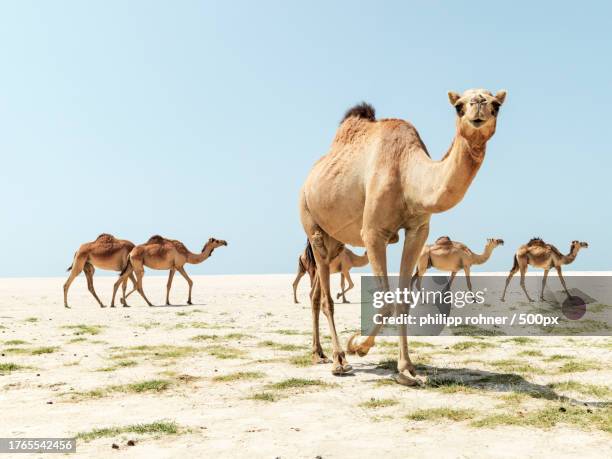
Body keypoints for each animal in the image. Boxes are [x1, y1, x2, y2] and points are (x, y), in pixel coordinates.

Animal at [300, 88, 506, 382]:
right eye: (458, 106)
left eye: (497, 105)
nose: (478, 104)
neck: (408, 175)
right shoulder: (373, 233)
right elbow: (386, 302)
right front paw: (357, 346)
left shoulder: (418, 232)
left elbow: (404, 301)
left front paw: (407, 368)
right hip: (311, 222)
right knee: (326, 297)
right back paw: (339, 360)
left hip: (334, 239)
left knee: (316, 292)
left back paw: (318, 353)